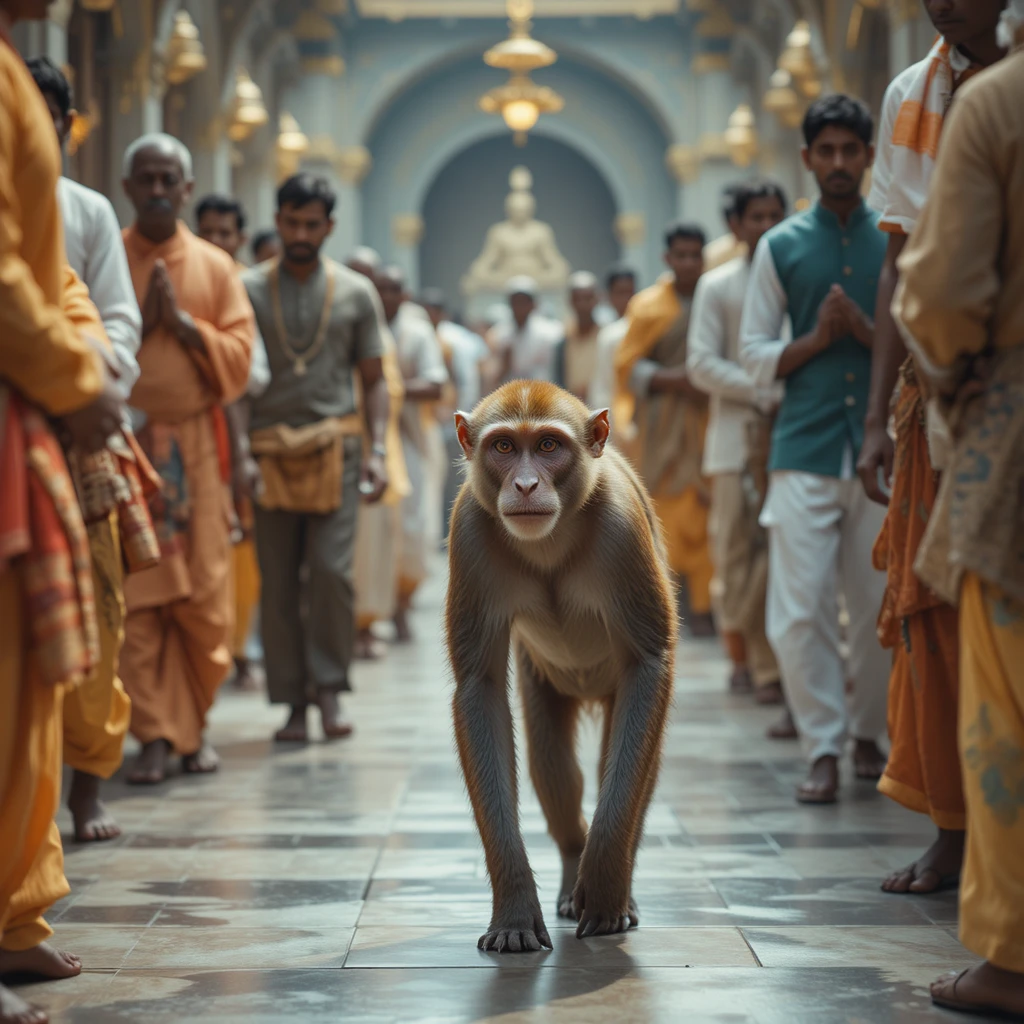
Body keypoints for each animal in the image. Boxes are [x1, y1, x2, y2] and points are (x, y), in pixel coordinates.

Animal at [446, 380, 677, 953]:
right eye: (504, 447)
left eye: (549, 446)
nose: (526, 484)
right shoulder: (469, 531)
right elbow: (479, 688)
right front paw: (513, 906)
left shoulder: (621, 525)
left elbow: (649, 661)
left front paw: (608, 884)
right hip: (544, 682)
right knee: (555, 771)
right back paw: (574, 865)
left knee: (628, 759)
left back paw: (610, 883)